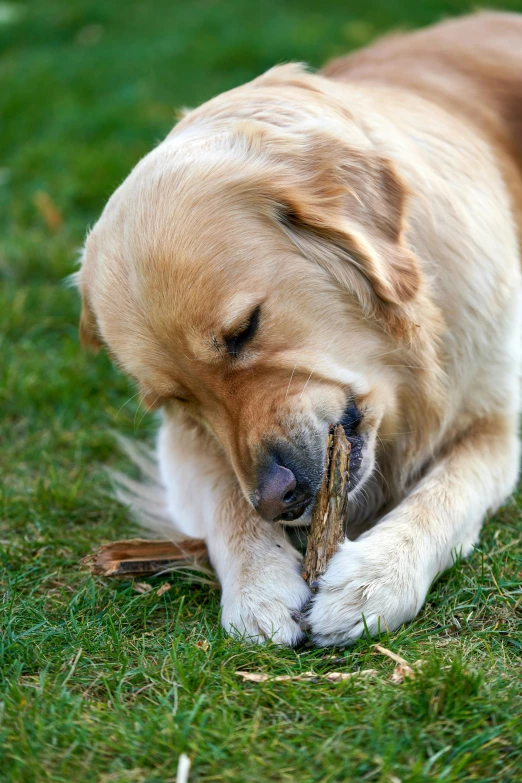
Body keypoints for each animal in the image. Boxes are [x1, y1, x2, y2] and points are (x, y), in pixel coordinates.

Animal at [75, 12, 520, 648]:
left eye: (244, 329)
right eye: (178, 400)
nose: (275, 501)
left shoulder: (495, 422)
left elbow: (447, 493)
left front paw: (374, 579)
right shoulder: (180, 448)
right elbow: (224, 499)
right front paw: (258, 588)